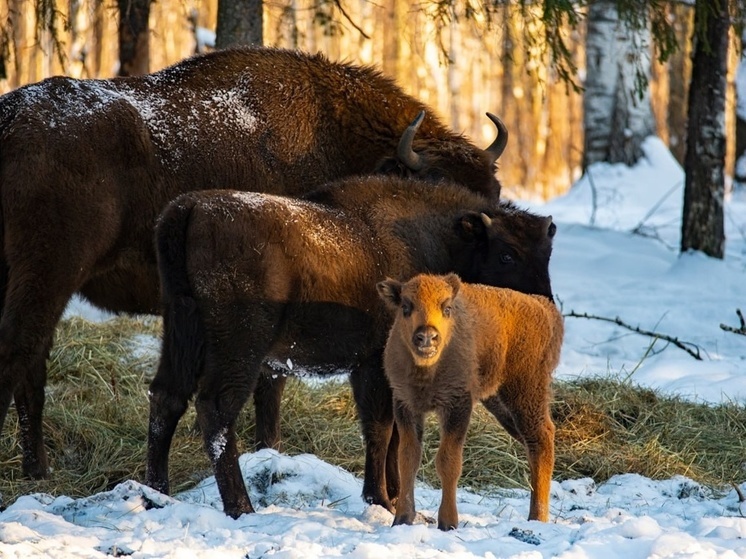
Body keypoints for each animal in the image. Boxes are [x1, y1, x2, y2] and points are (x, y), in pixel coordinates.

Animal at [0, 46, 506, 480]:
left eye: (493, 191)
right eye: (435, 185)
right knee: (20, 353)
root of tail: (10, 121)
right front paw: (270, 451)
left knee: (34, 366)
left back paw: (38, 470)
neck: (334, 136)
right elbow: (271, 385)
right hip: (47, 274)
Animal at [374, 274, 560, 532]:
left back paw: (537, 518)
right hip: (499, 402)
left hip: (525, 393)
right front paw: (402, 519)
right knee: (533, 441)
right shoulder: (406, 405)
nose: (427, 337)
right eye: (406, 307)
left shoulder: (457, 406)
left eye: (447, 308)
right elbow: (408, 459)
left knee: (541, 439)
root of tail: (542, 306)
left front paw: (448, 523)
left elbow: (448, 461)